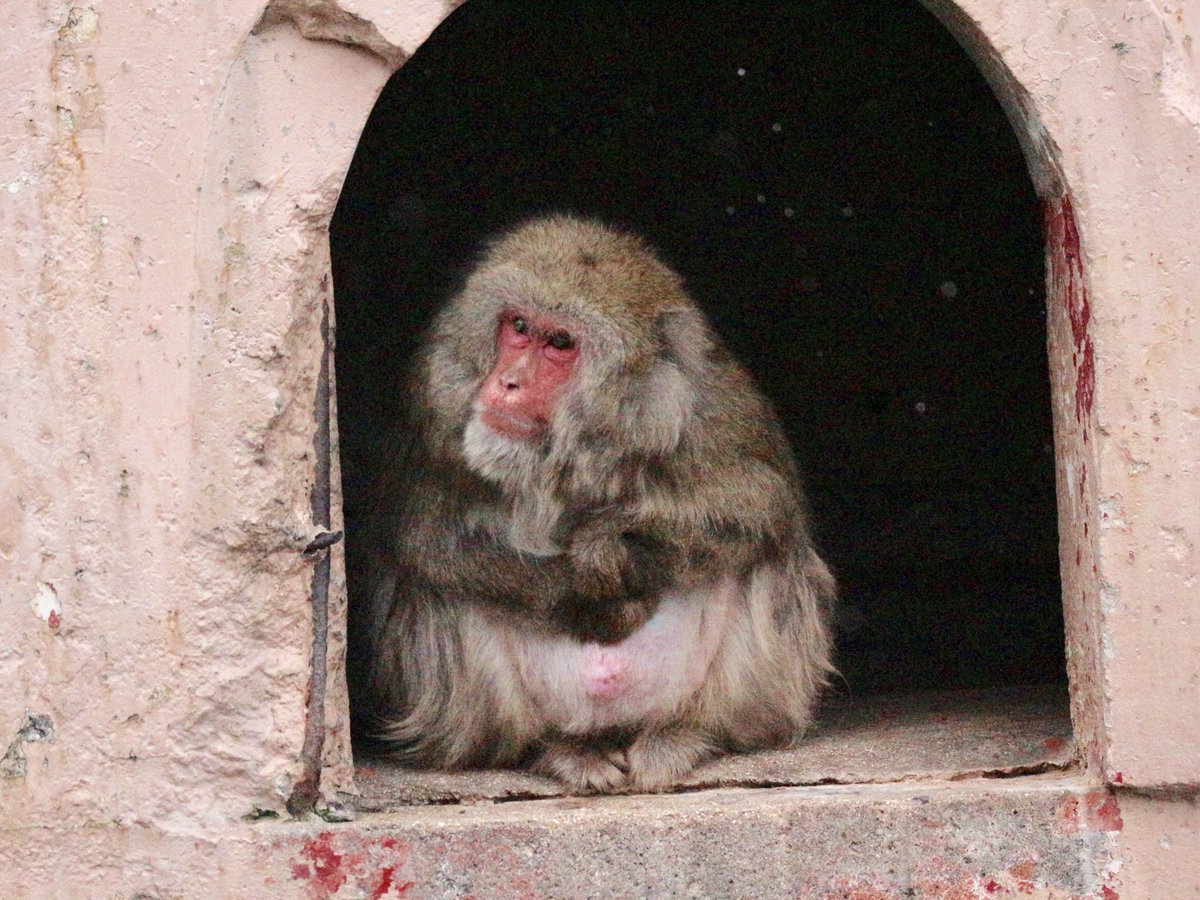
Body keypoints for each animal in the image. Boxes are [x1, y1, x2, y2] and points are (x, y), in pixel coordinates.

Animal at [357, 214, 835, 792]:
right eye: (519, 326)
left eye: (561, 342)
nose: (508, 382)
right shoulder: (434, 411)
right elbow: (422, 536)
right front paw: (584, 593)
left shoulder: (713, 406)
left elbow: (759, 504)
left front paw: (605, 548)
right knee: (442, 588)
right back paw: (559, 750)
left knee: (764, 556)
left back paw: (689, 734)